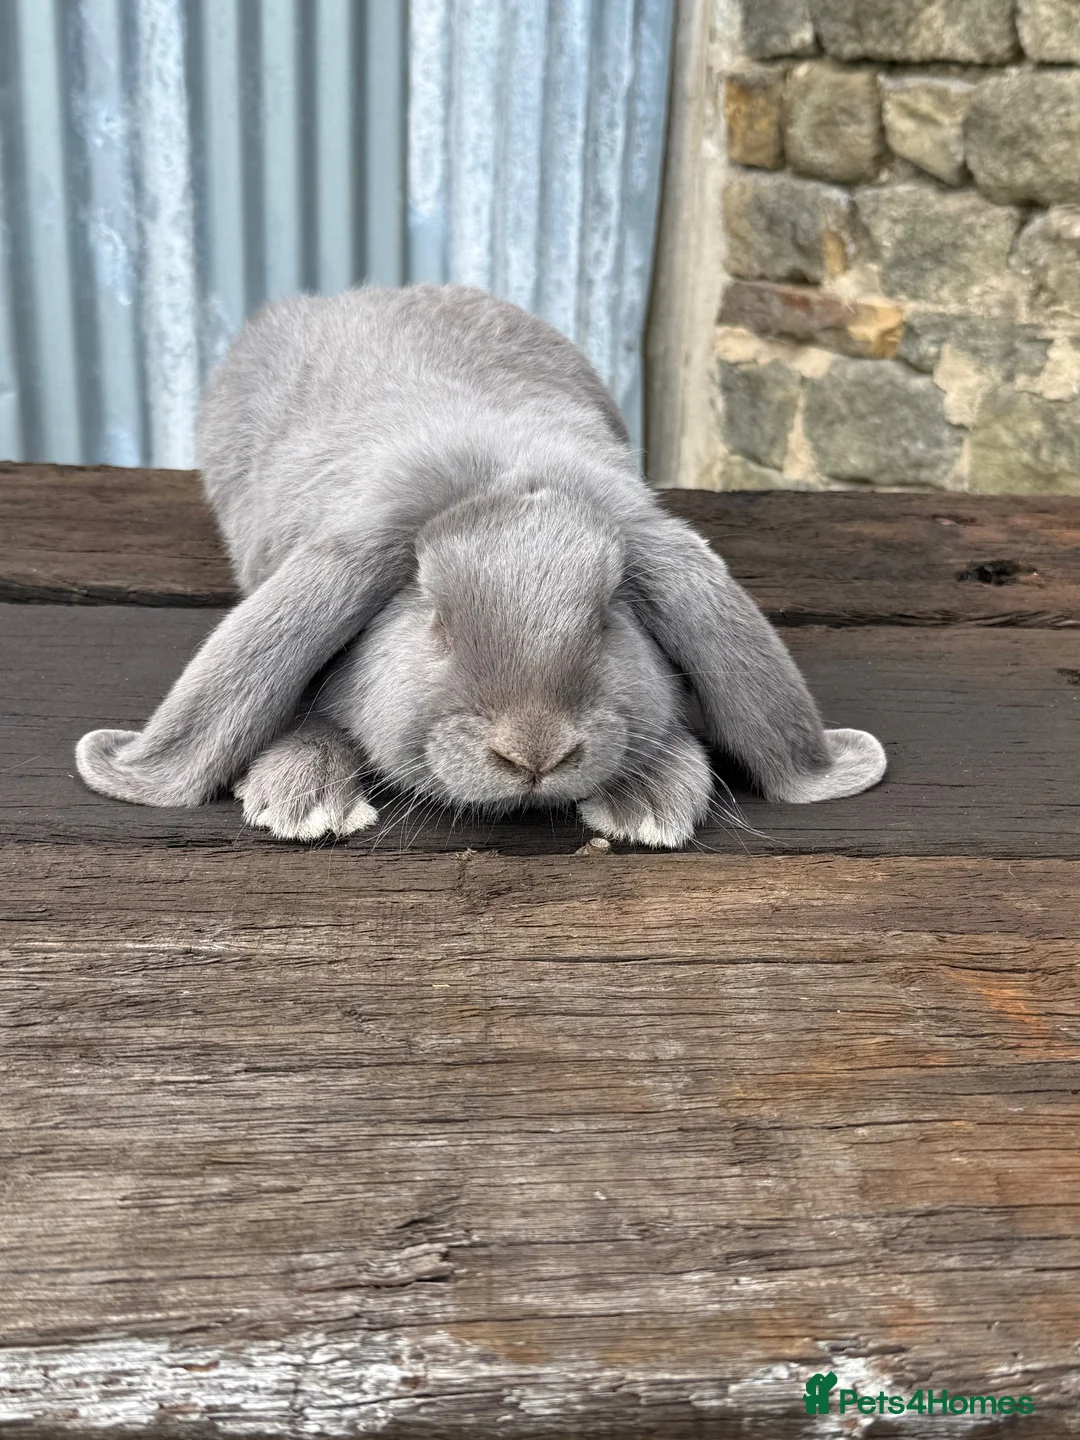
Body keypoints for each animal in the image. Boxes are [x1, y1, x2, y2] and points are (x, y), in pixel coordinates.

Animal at [75, 284, 886, 848]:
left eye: (609, 615)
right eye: (432, 615)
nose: (534, 752)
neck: (497, 471)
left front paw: (653, 799)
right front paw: (302, 797)